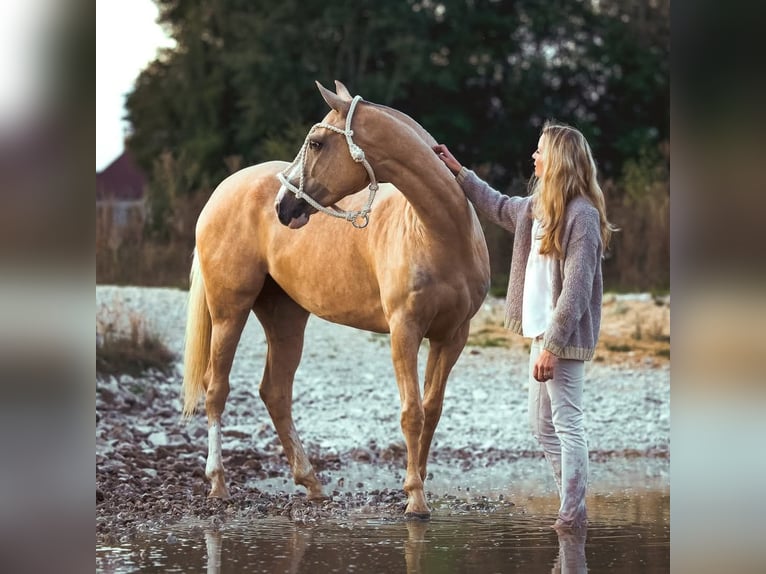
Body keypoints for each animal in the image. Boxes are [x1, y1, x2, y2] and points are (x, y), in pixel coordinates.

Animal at [182, 80, 490, 518]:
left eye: (315, 143)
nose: (283, 206)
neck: (438, 232)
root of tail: (221, 192)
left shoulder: (452, 337)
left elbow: (431, 411)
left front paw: (419, 485)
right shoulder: (404, 331)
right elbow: (411, 412)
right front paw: (414, 496)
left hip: (285, 317)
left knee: (275, 393)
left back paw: (312, 484)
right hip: (230, 310)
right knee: (216, 389)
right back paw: (219, 484)